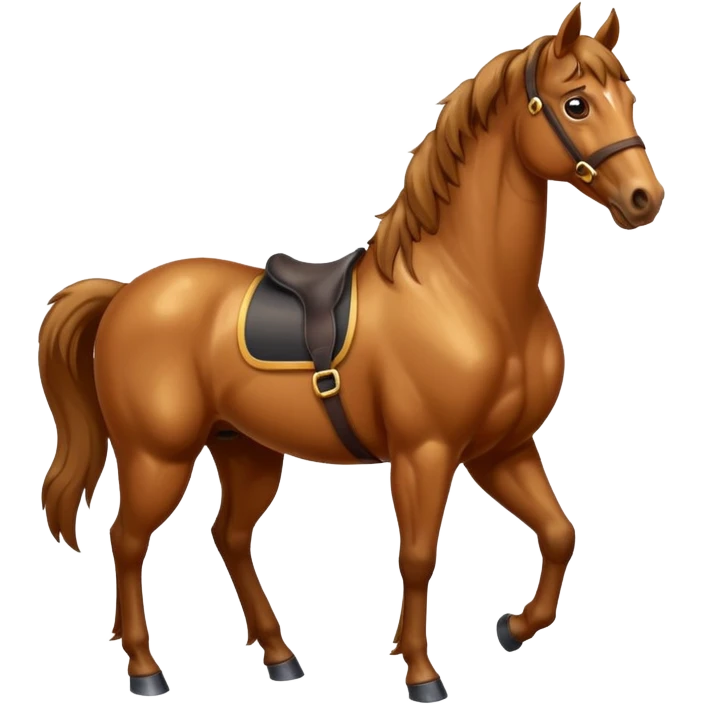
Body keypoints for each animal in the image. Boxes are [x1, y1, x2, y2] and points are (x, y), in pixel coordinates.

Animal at [38, 3, 664, 701]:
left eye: (629, 97)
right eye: (577, 104)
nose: (645, 199)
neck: (467, 288)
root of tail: (125, 293)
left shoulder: (502, 449)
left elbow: (559, 533)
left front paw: (514, 627)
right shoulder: (426, 454)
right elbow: (417, 558)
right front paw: (422, 673)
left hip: (245, 450)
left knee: (228, 536)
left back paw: (280, 657)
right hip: (157, 457)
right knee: (127, 540)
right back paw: (146, 670)